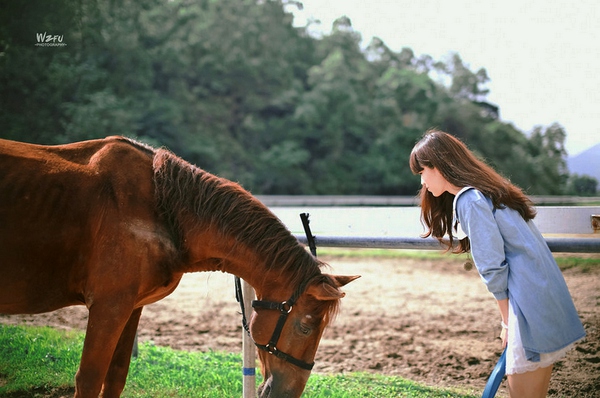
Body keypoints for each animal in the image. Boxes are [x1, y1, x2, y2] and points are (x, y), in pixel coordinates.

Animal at [0, 138, 356, 398]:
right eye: (306, 327)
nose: (287, 394)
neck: (161, 209)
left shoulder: (129, 308)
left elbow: (115, 378)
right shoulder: (107, 307)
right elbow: (89, 379)